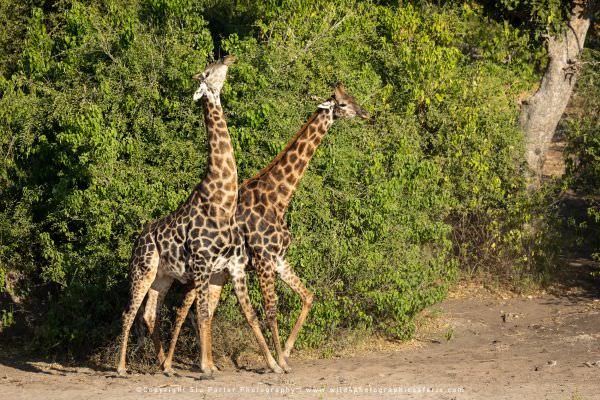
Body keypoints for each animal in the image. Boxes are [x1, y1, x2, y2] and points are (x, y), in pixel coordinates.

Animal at [118, 55, 286, 376]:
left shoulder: (228, 266)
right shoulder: (202, 265)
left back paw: (166, 366)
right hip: (143, 269)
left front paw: (272, 364)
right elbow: (204, 312)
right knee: (129, 311)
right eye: (208, 72)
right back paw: (121, 368)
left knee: (150, 313)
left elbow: (241, 313)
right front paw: (206, 367)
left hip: (163, 276)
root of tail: (138, 239)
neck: (222, 202)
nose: (228, 57)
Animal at [159, 83, 368, 374]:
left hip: (218, 273)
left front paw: (287, 353)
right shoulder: (263, 259)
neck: (278, 197)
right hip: (206, 270)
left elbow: (308, 296)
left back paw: (202, 363)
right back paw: (171, 364)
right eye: (344, 104)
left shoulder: (278, 258)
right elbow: (271, 309)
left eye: (352, 98)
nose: (365, 113)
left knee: (201, 308)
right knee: (185, 308)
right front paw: (280, 362)